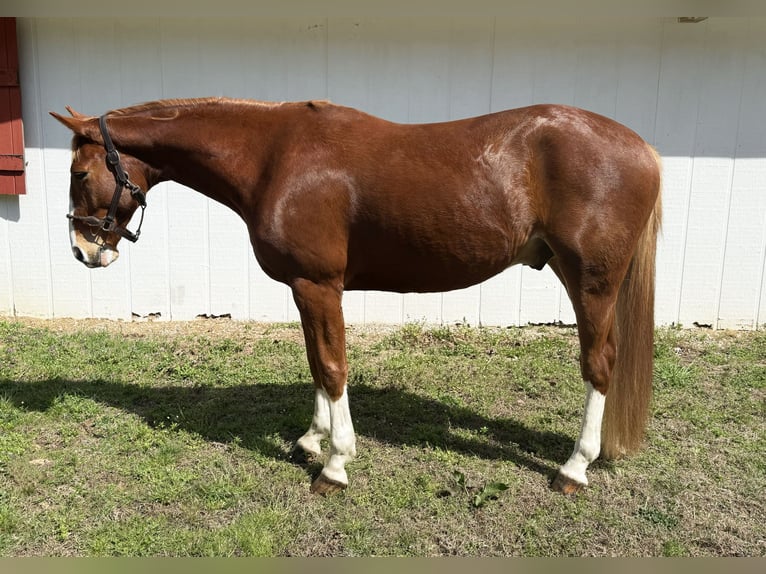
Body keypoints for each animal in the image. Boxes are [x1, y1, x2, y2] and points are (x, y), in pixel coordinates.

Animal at [51, 97, 661, 495]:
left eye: (80, 173)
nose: (83, 250)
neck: (275, 157)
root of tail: (643, 147)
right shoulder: (306, 288)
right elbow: (317, 366)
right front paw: (311, 440)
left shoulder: (319, 284)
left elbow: (332, 365)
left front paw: (335, 464)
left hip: (592, 283)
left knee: (600, 364)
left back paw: (574, 468)